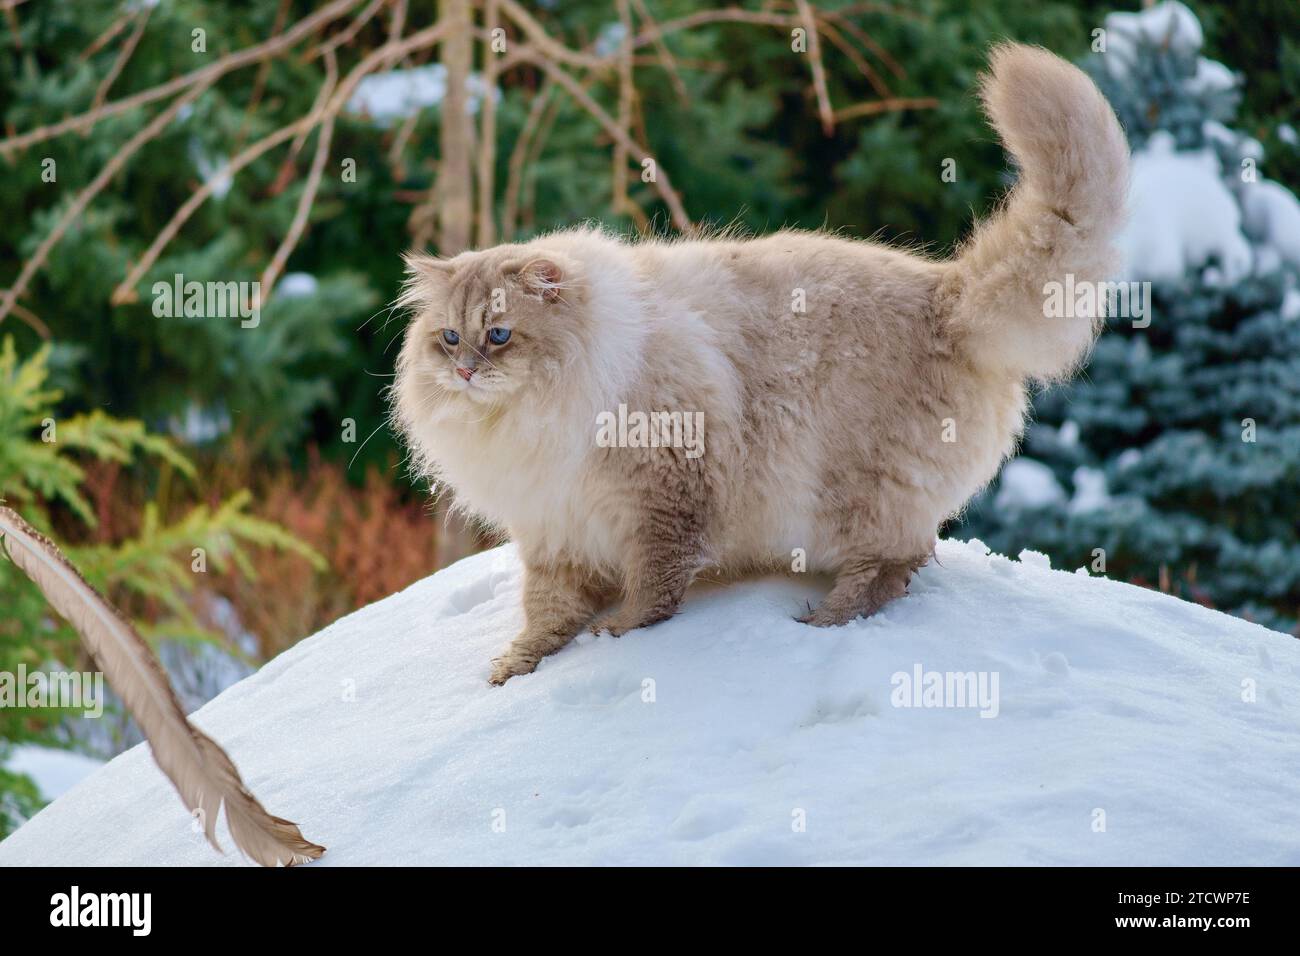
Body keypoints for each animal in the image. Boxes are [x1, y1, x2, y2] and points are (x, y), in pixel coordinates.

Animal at [387, 44, 1128, 686]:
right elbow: (544, 619)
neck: (529, 419)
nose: (466, 371)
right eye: (449, 338)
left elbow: (652, 590)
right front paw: (513, 671)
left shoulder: (661, 498)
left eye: (500, 335)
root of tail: (947, 294)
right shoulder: (555, 531)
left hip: (854, 500)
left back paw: (821, 622)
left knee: (891, 570)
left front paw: (616, 634)